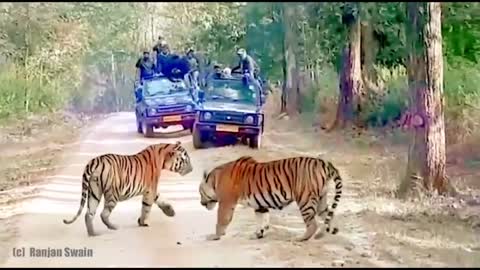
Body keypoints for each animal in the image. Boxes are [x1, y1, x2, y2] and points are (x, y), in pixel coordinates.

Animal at [62, 141, 192, 236]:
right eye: (186, 160)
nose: (192, 169)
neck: (163, 155)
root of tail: (95, 162)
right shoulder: (150, 188)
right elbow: (146, 207)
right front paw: (143, 222)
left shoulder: (151, 189)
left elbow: (159, 198)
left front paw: (170, 212)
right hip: (112, 194)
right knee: (103, 214)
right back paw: (114, 227)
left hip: (94, 192)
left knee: (88, 214)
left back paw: (93, 233)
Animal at [198, 155, 342, 242]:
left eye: (200, 192)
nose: (200, 203)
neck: (215, 180)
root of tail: (324, 163)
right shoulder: (259, 204)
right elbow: (262, 220)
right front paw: (258, 234)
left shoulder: (226, 203)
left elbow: (221, 220)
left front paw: (215, 236)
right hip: (321, 200)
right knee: (329, 216)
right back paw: (324, 234)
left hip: (305, 199)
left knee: (312, 224)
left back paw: (300, 238)